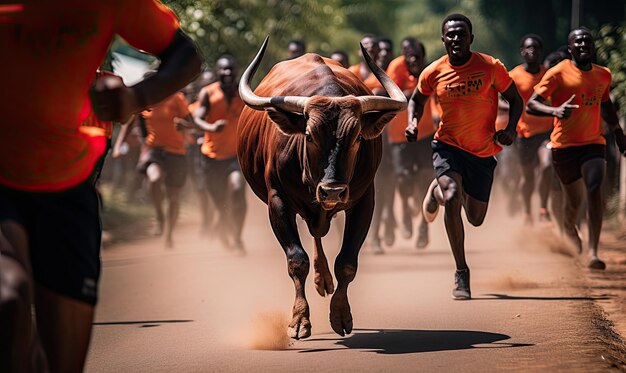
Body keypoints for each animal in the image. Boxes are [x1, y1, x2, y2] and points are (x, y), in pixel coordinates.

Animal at [238, 37, 404, 338]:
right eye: (309, 135)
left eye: (357, 137)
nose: (332, 191)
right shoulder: (277, 201)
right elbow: (297, 260)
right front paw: (299, 319)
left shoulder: (365, 200)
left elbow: (347, 262)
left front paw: (340, 315)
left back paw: (324, 279)